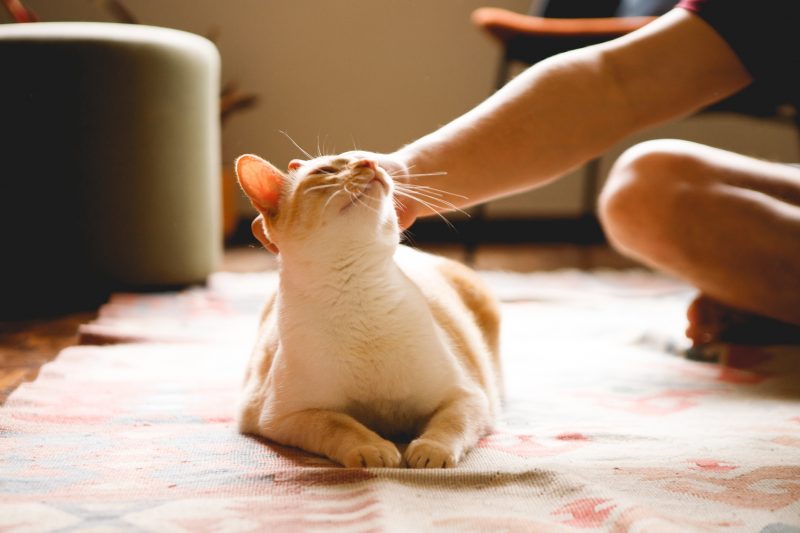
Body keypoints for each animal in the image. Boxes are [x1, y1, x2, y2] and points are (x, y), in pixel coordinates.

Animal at [234, 152, 504, 468]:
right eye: (324, 172)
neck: (359, 295)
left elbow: (449, 425)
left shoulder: (467, 395)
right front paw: (375, 450)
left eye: (359, 158)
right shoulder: (284, 416)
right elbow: (340, 425)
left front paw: (429, 453)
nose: (368, 163)